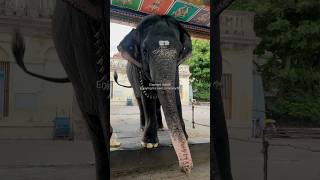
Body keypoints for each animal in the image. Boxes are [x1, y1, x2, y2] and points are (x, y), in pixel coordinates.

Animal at [116, 14, 194, 172]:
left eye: (179, 51)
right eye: (144, 50)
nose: (187, 169)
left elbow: (175, 94)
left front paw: (185, 136)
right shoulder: (139, 69)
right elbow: (147, 96)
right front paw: (149, 143)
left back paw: (161, 127)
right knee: (140, 101)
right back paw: (142, 127)